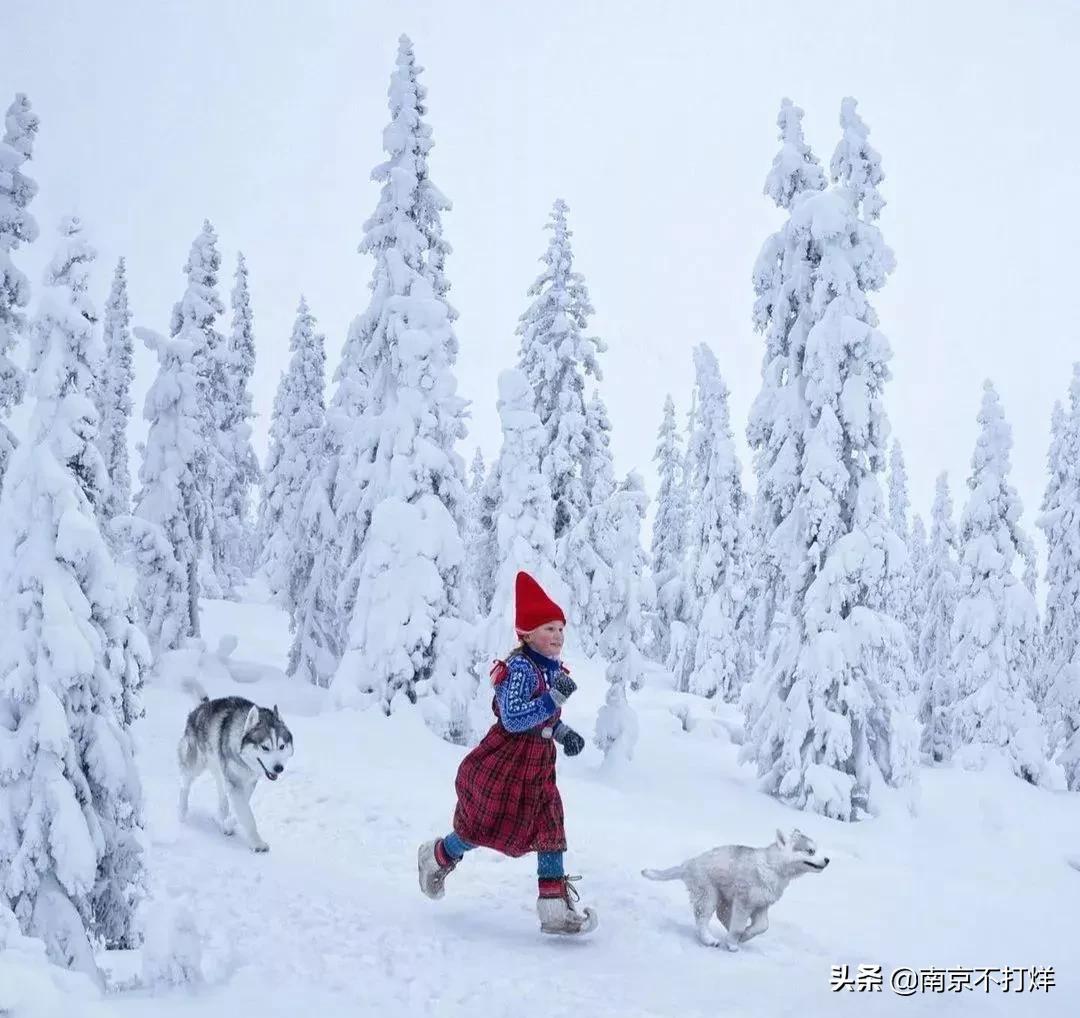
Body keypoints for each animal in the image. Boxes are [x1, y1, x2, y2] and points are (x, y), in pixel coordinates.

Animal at [178, 682, 293, 854]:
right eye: (265, 747)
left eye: (281, 746)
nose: (278, 768)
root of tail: (202, 706)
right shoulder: (235, 782)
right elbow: (247, 815)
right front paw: (257, 843)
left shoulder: (248, 782)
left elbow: (241, 810)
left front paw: (226, 823)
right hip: (195, 763)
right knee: (184, 784)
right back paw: (182, 812)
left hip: (219, 770)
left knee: (222, 796)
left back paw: (220, 817)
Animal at [643, 833, 829, 949]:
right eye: (810, 851)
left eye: (816, 849)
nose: (827, 860)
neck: (772, 867)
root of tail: (687, 864)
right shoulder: (744, 901)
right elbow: (739, 926)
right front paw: (733, 943)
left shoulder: (761, 904)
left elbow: (763, 926)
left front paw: (745, 935)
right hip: (708, 894)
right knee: (702, 920)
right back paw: (709, 940)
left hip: (724, 897)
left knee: (722, 915)